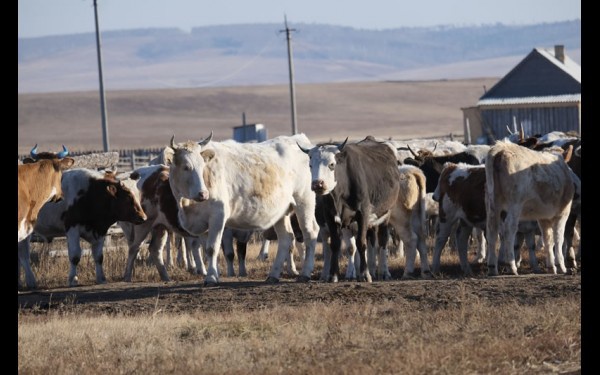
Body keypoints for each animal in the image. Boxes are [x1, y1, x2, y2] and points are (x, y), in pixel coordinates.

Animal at [166, 132, 322, 284]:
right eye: (186, 167)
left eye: (202, 166)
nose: (203, 194)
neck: (187, 205)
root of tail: (299, 139)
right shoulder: (202, 223)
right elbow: (206, 250)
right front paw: (214, 274)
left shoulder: (218, 216)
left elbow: (212, 248)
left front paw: (211, 277)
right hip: (281, 212)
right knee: (286, 238)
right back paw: (273, 275)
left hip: (304, 201)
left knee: (310, 233)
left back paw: (305, 273)